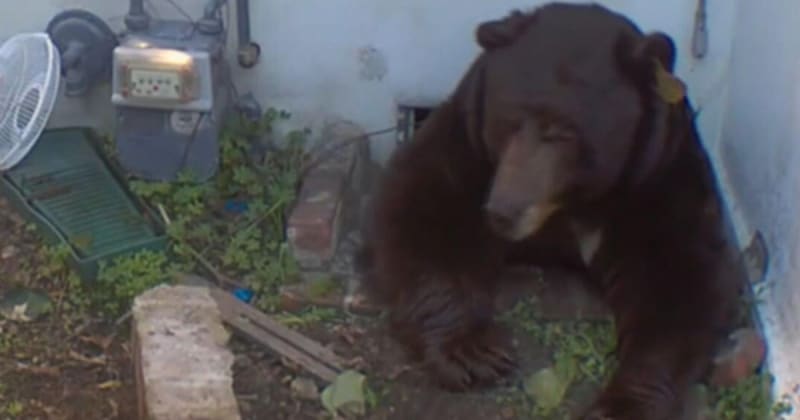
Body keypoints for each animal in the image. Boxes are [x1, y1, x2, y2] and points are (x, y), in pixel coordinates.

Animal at [356, 3, 741, 419]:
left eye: (563, 132)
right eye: (508, 120)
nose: (503, 211)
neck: (572, 203)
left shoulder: (657, 179)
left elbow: (682, 277)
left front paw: (622, 404)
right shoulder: (469, 146)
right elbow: (422, 206)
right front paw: (473, 352)